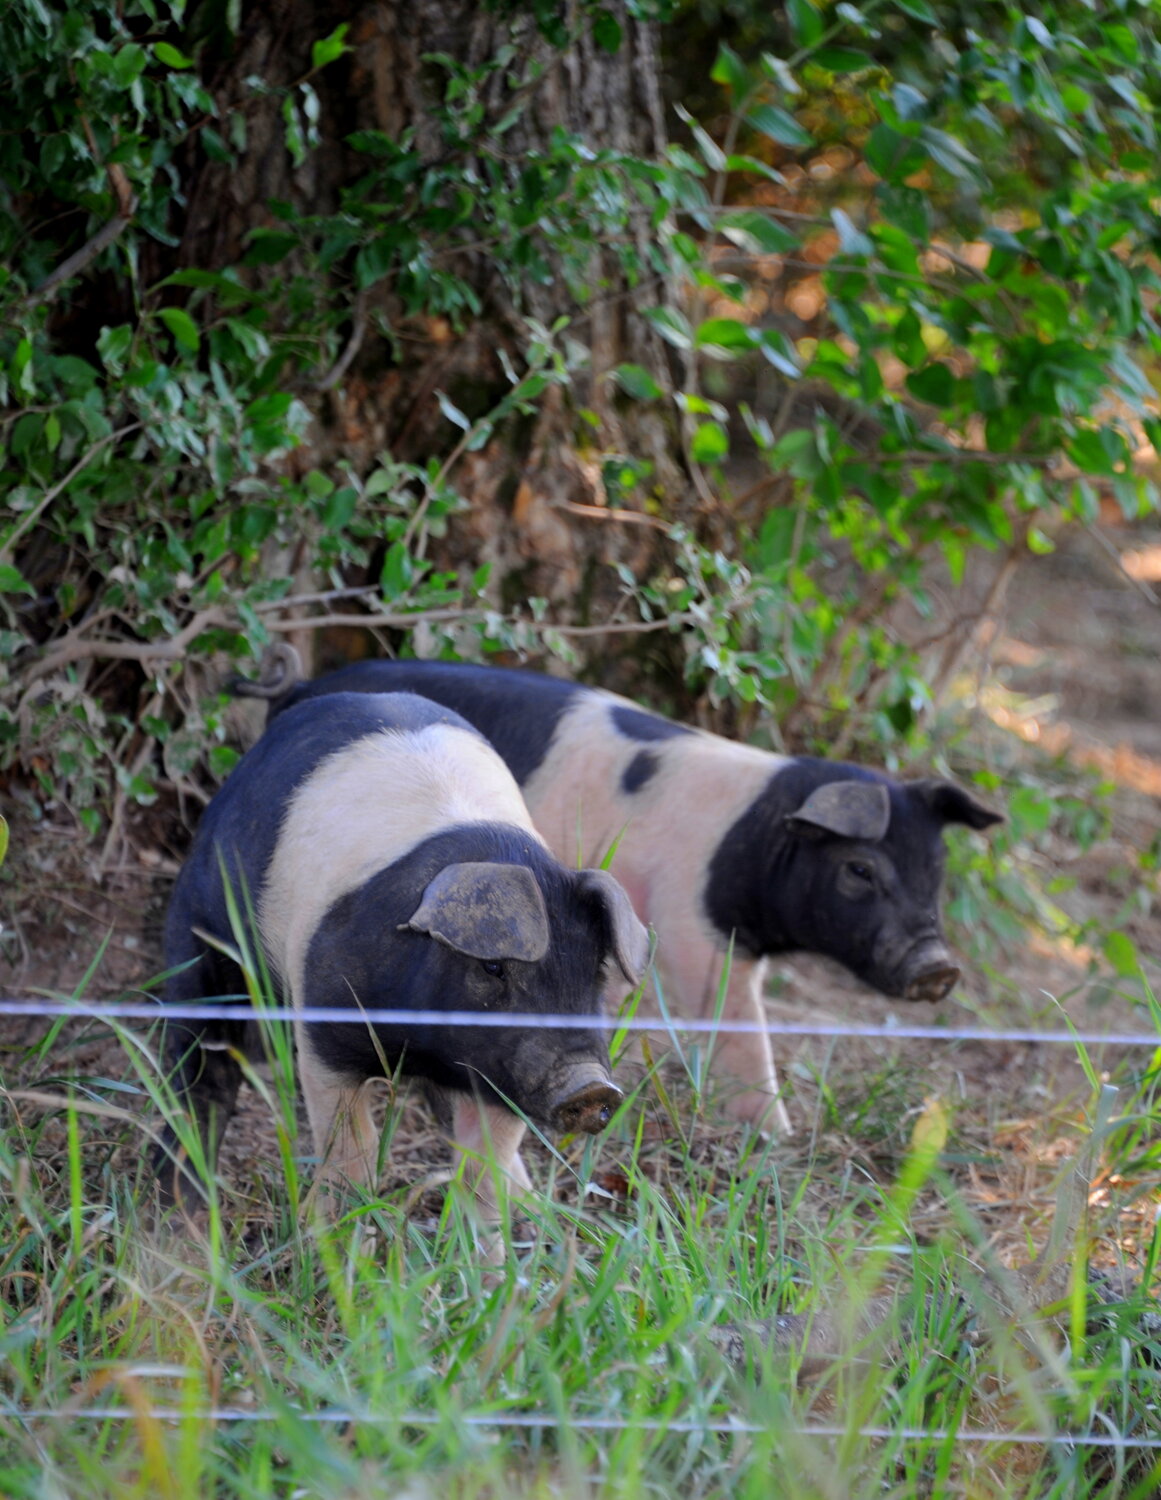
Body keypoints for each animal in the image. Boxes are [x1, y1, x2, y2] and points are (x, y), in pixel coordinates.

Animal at [156, 687, 651, 1248]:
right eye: (494, 968)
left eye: (595, 972)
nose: (591, 1087)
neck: (422, 1043)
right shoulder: (326, 1024)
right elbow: (352, 1141)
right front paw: (335, 1240)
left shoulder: (497, 1073)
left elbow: (484, 1160)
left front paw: (487, 1253)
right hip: (202, 928)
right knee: (200, 1068)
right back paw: (181, 1215)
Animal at [234, 657, 1002, 1134]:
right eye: (860, 871)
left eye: (935, 870)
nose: (939, 968)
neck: (754, 839)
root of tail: (303, 686)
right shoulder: (692, 929)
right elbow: (736, 1025)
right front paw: (774, 1134)